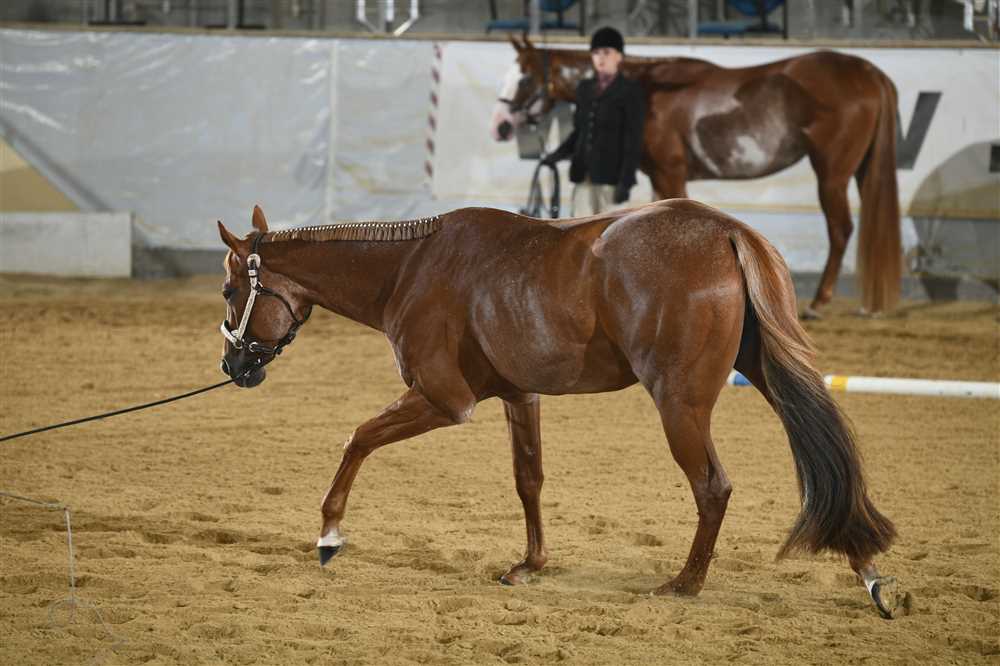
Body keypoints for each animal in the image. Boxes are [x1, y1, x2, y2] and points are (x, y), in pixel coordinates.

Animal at [217, 202, 901, 618]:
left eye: (229, 289)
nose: (234, 367)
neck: (412, 267)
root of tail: (726, 230)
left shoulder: (445, 401)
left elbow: (358, 438)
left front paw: (329, 534)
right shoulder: (520, 396)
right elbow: (529, 479)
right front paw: (530, 563)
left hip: (680, 405)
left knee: (713, 487)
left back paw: (685, 583)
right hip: (767, 377)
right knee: (826, 460)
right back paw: (867, 570)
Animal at [492, 38, 903, 318]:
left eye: (524, 77)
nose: (500, 126)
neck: (647, 92)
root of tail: (869, 73)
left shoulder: (671, 172)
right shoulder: (661, 179)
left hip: (831, 174)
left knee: (841, 229)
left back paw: (818, 303)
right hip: (861, 170)